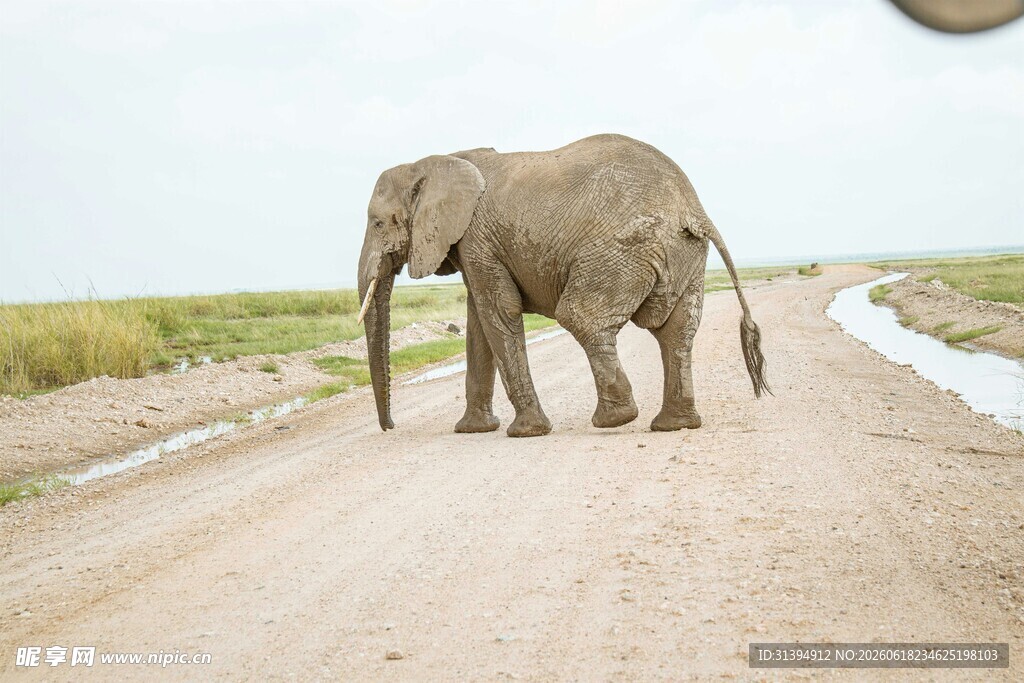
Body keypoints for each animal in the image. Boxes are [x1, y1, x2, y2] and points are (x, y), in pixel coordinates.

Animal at [356, 134, 769, 437]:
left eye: (378, 223)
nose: (390, 428)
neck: (433, 163)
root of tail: (693, 209)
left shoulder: (477, 238)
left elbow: (497, 314)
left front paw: (525, 433)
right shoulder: (475, 246)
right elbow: (478, 327)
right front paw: (472, 431)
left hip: (618, 251)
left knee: (580, 317)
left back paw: (614, 420)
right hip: (684, 256)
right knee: (676, 332)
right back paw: (674, 425)